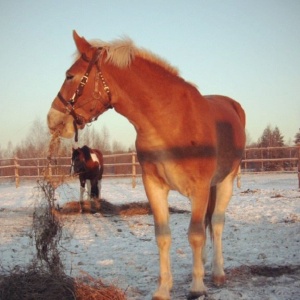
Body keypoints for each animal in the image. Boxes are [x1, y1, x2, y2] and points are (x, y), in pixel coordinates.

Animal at [48, 31, 246, 300]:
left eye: (70, 75)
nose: (52, 119)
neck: (171, 122)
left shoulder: (200, 189)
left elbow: (196, 235)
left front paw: (196, 288)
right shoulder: (154, 187)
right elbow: (163, 236)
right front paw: (163, 289)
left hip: (225, 181)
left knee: (215, 223)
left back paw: (216, 273)